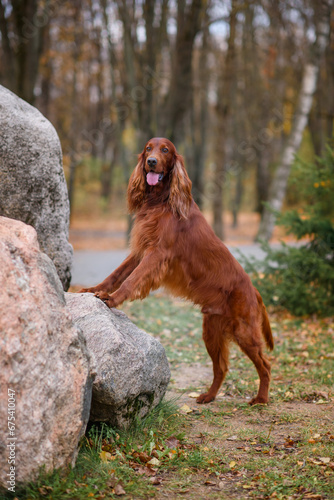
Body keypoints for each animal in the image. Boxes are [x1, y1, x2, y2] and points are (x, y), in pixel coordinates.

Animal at [79, 138, 272, 406]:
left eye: (165, 150)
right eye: (148, 149)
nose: (151, 162)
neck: (160, 200)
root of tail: (254, 289)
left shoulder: (157, 253)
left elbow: (131, 280)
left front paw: (113, 299)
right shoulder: (141, 250)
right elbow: (117, 274)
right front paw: (95, 289)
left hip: (244, 331)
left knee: (265, 364)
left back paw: (261, 398)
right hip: (211, 331)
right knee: (221, 367)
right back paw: (209, 396)